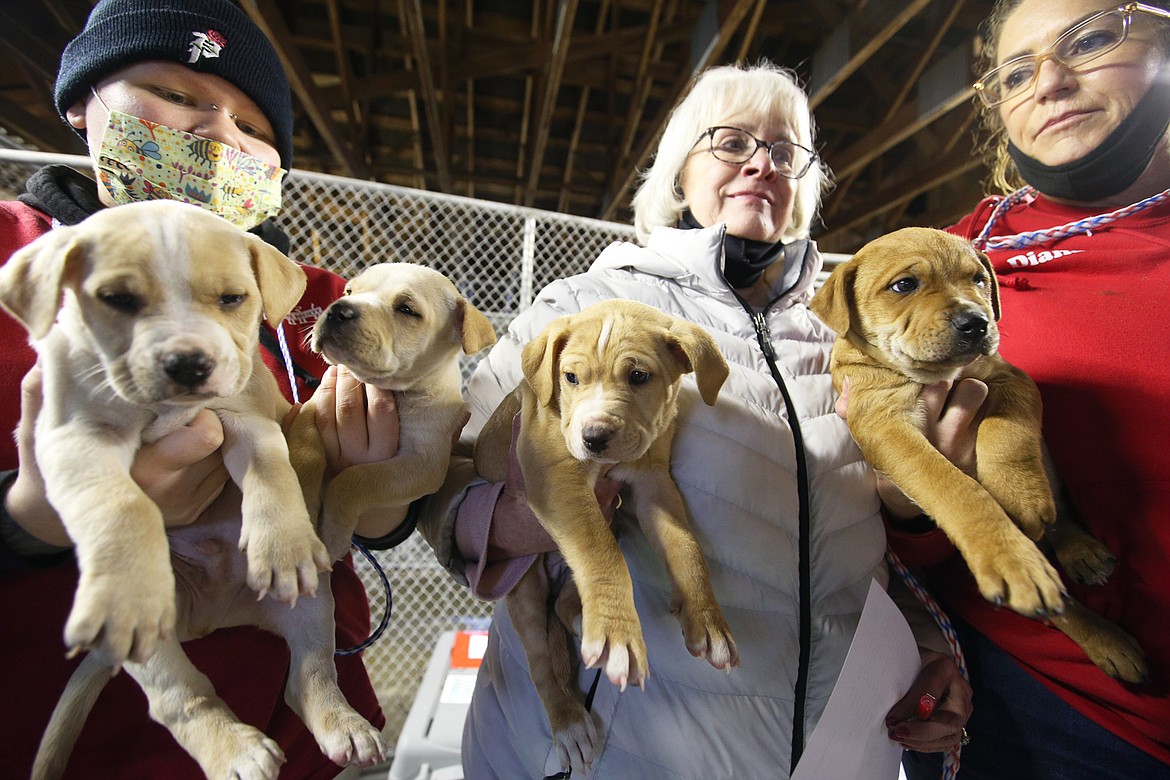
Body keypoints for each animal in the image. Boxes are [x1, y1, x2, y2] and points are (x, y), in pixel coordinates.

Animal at [3, 203, 383, 780]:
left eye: (232, 299)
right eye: (117, 299)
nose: (188, 364)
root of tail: (212, 617)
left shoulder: (248, 419)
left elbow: (272, 474)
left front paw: (283, 548)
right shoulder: (73, 436)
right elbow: (121, 505)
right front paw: (125, 586)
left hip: (314, 605)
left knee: (310, 673)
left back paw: (345, 727)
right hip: (152, 646)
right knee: (180, 698)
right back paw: (237, 750)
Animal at [291, 261, 498, 561]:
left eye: (407, 310)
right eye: (349, 291)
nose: (338, 309)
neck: (388, 390)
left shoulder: (422, 464)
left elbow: (353, 480)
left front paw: (333, 535)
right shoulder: (310, 411)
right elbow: (304, 454)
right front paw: (299, 508)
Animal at [470, 301, 734, 776]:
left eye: (639, 377)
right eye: (570, 378)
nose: (594, 438)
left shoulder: (654, 483)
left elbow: (684, 544)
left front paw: (706, 619)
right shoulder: (555, 477)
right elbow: (600, 551)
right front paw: (616, 631)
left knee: (565, 603)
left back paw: (582, 622)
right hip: (524, 587)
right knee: (542, 663)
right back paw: (570, 723)